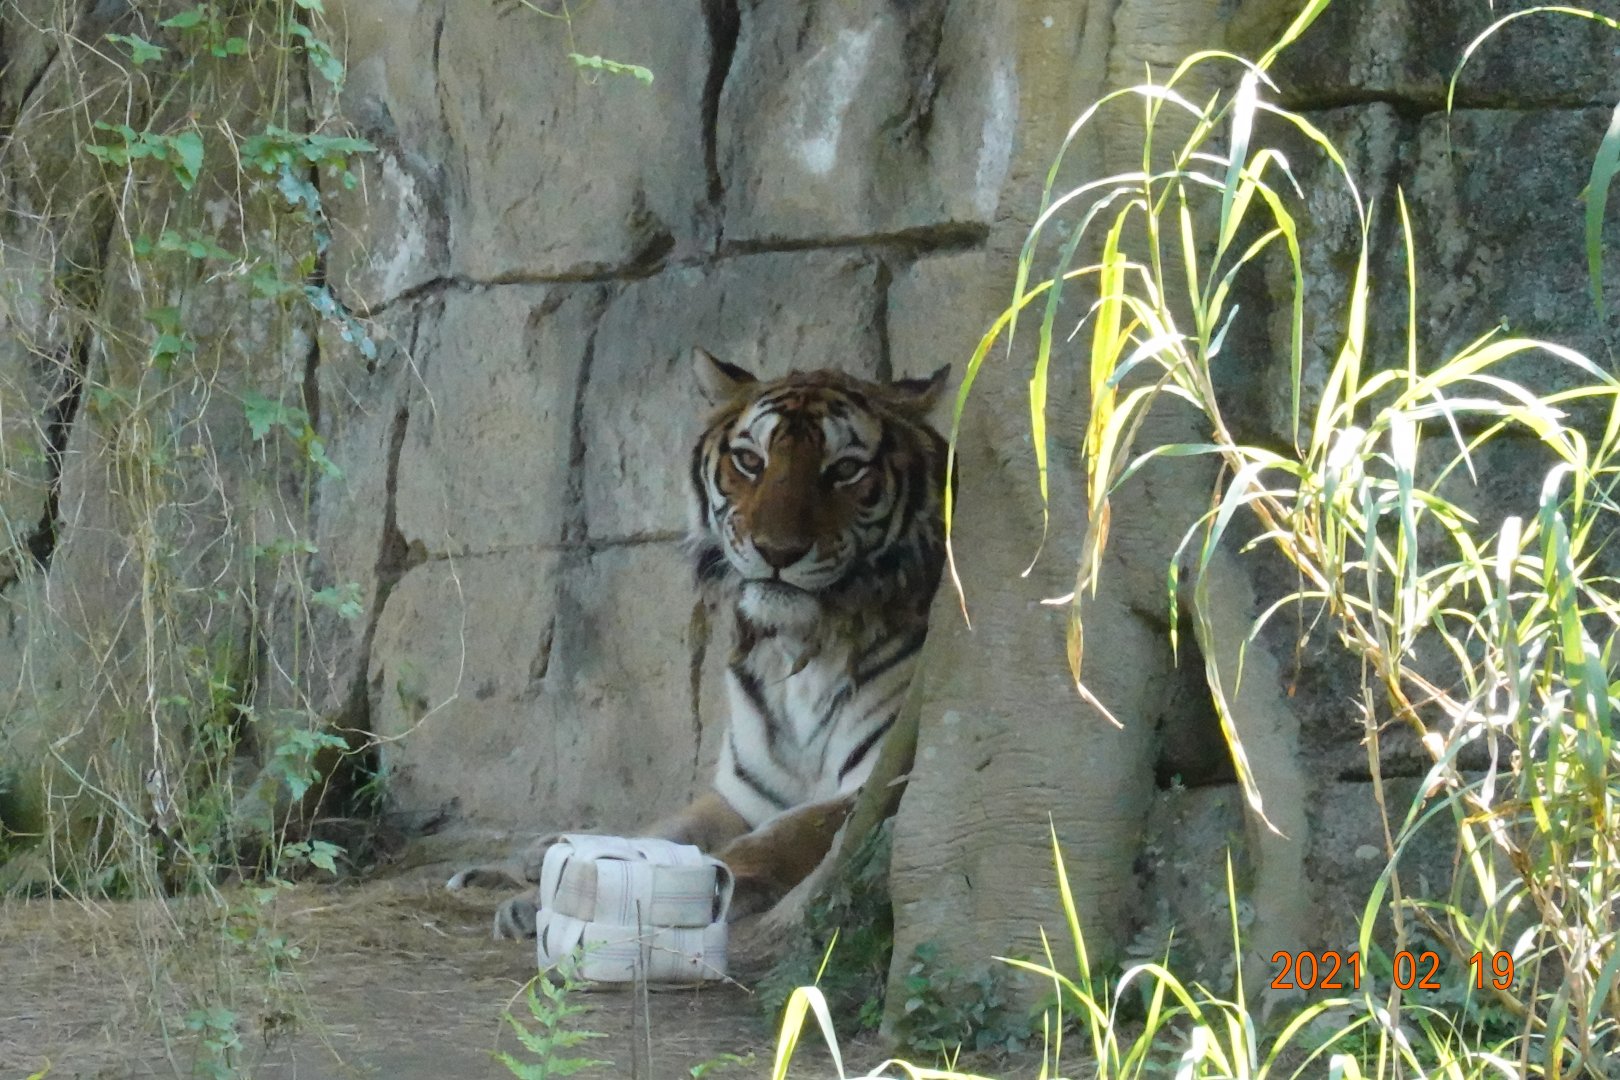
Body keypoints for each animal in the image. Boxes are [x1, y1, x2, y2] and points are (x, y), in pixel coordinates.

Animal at [448, 348, 950, 938]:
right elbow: (664, 831)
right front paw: (543, 892)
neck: (799, 652)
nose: (778, 550)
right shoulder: (742, 793)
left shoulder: (883, 778)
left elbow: (777, 837)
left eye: (845, 469)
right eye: (751, 461)